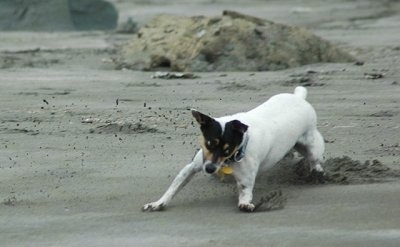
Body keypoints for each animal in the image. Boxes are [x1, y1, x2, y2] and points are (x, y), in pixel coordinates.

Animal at [142, 86, 324, 211]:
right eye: (209, 143)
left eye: (227, 150)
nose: (210, 169)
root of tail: (298, 97)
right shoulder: (192, 166)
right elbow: (173, 188)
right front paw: (158, 203)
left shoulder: (245, 178)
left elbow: (245, 192)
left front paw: (245, 203)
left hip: (312, 144)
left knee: (314, 159)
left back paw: (317, 173)